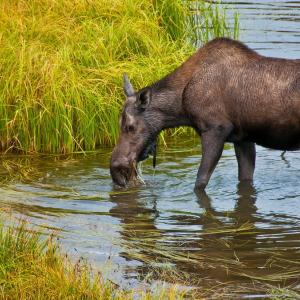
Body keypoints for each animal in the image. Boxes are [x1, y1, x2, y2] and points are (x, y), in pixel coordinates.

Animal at [110, 37, 300, 190]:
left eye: (130, 126)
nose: (116, 169)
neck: (181, 107)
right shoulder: (243, 139)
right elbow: (245, 180)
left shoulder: (215, 129)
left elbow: (200, 181)